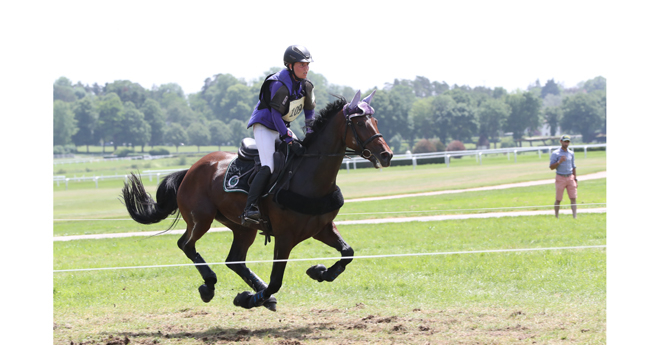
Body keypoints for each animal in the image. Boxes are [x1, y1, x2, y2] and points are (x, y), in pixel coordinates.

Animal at [120, 90, 392, 310]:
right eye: (359, 122)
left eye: (376, 120)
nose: (386, 155)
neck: (310, 176)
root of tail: (191, 169)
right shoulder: (285, 237)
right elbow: (276, 280)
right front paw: (249, 299)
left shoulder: (321, 228)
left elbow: (348, 252)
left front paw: (320, 272)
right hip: (202, 219)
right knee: (186, 244)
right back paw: (210, 285)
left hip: (242, 227)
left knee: (234, 259)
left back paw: (255, 290)